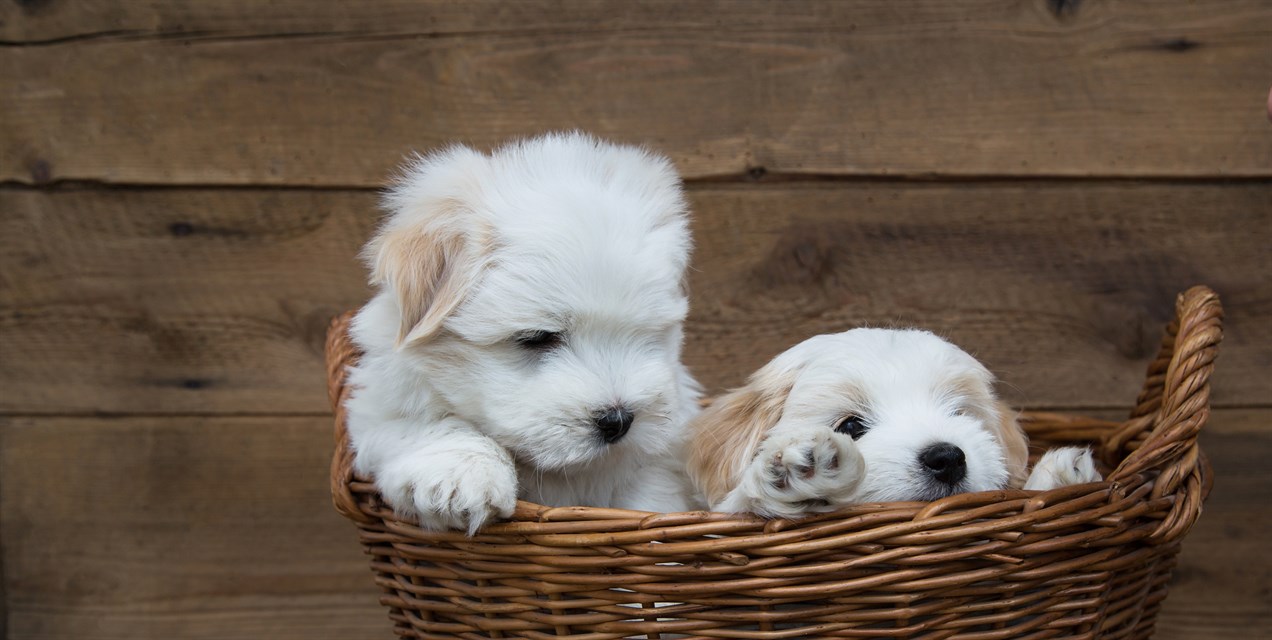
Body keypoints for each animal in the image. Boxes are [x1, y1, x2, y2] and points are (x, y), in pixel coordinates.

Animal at [343, 132, 702, 534]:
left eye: (648, 332)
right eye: (537, 337)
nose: (618, 420)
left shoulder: (658, 461)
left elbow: (649, 496)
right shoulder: (380, 407)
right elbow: (430, 423)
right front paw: (462, 475)